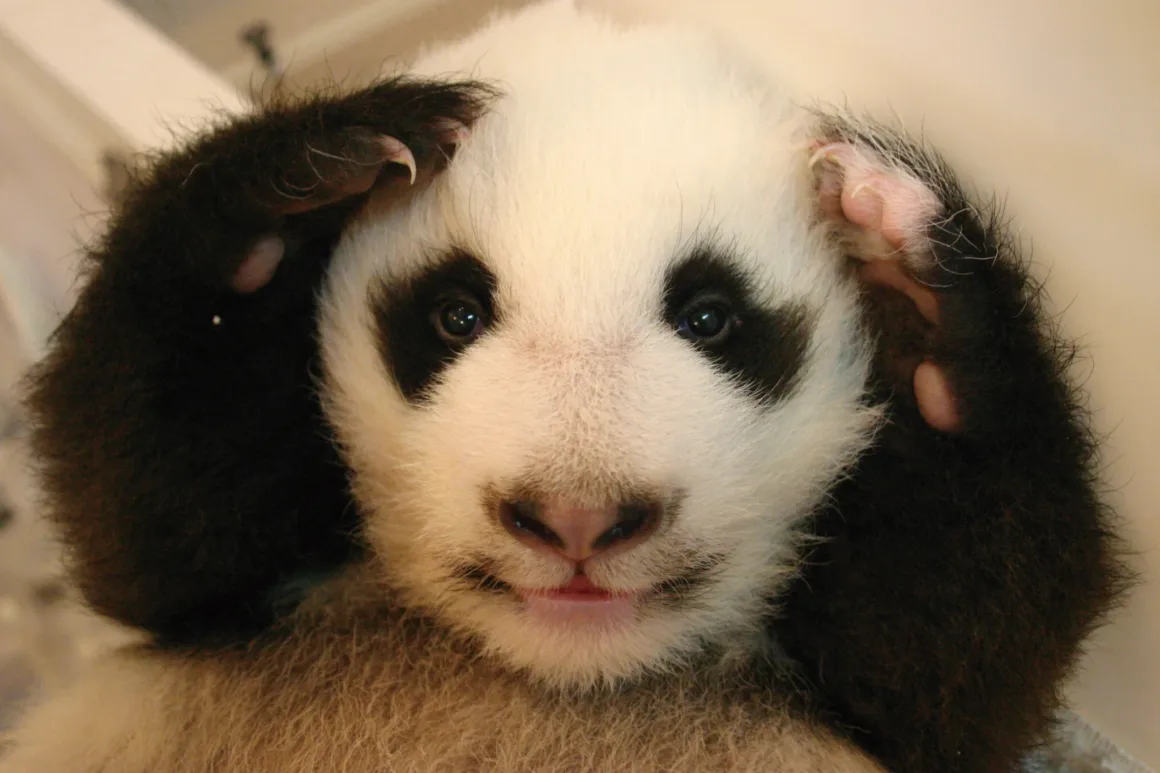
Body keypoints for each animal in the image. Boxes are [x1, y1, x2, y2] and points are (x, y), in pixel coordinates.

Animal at [0, 2, 1130, 772]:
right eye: (454, 315)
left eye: (709, 316)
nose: (577, 516)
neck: (573, 669)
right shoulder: (241, 588)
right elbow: (151, 535)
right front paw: (295, 181)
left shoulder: (879, 691)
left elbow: (944, 673)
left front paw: (923, 302)